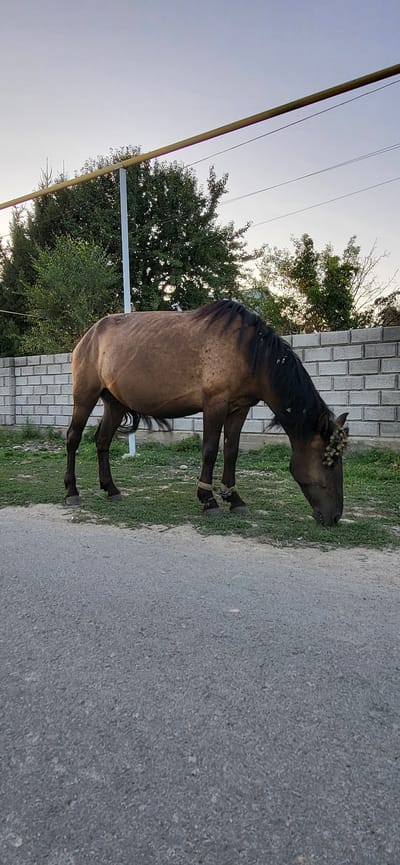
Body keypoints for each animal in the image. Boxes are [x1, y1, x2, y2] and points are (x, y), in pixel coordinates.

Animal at [64, 300, 349, 526]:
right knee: (73, 438)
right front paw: (208, 500)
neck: (249, 352)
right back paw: (71, 491)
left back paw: (111, 489)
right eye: (329, 461)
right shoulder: (215, 404)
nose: (334, 516)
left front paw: (235, 499)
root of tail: (88, 337)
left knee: (102, 441)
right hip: (85, 397)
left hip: (115, 403)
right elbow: (210, 451)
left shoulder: (239, 408)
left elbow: (231, 451)